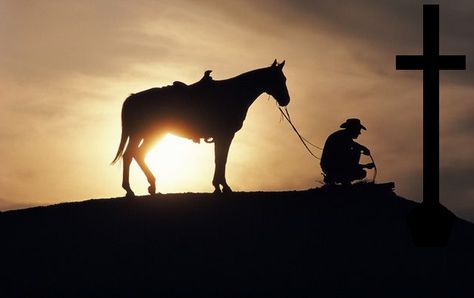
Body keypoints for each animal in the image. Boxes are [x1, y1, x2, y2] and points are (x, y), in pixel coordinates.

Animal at [113, 59, 290, 197]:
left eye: (284, 79)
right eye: (279, 79)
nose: (286, 100)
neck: (233, 93)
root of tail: (133, 98)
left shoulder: (221, 136)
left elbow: (219, 159)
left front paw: (218, 186)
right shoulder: (226, 135)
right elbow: (221, 159)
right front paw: (223, 186)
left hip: (143, 135)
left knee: (132, 155)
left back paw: (141, 187)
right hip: (150, 134)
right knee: (134, 154)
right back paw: (136, 188)